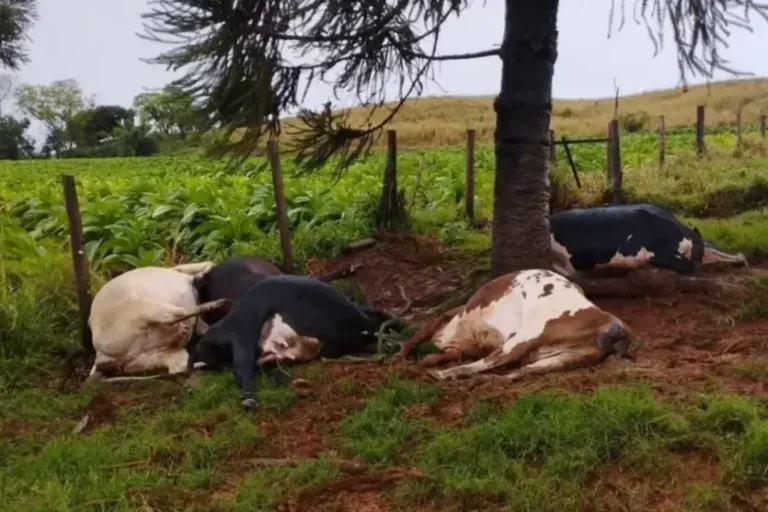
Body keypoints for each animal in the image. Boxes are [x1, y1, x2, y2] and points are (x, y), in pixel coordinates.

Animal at [86, 262, 232, 383]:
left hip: (149, 358)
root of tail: (101, 356)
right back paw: (219, 303)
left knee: (178, 366)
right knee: (177, 314)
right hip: (142, 307)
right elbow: (207, 264)